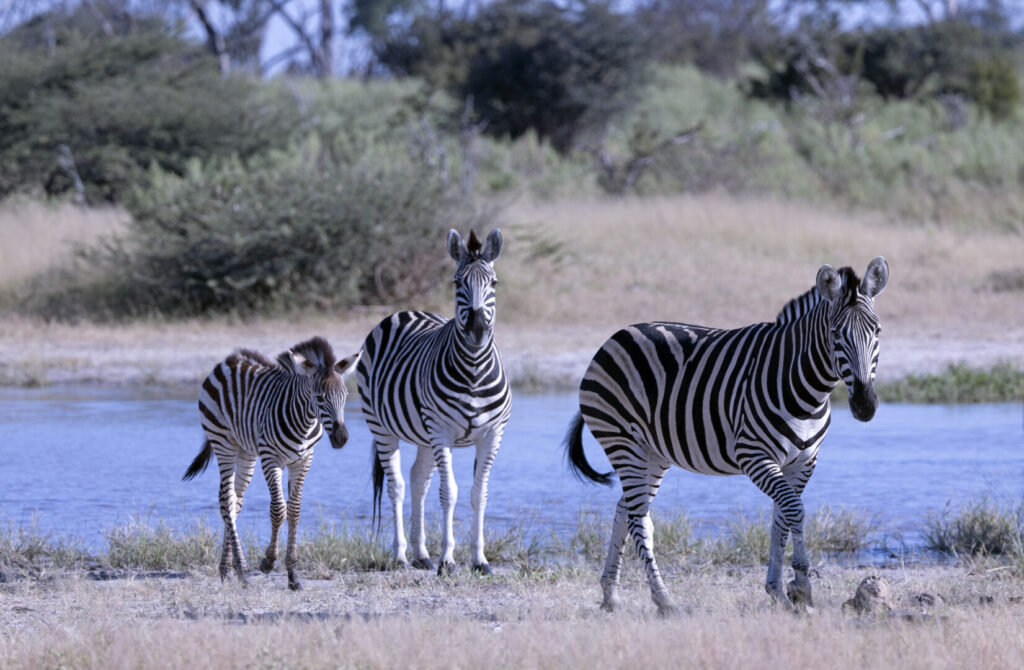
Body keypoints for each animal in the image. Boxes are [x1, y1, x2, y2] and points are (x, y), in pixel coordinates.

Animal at [183, 336, 360, 591]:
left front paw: (293, 575)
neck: (305, 422)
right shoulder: (270, 458)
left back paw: (228, 570)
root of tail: (229, 360)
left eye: (345, 396)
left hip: (246, 452)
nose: (341, 438)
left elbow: (294, 510)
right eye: (320, 398)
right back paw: (242, 569)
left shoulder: (303, 460)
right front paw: (268, 562)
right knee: (226, 501)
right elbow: (278, 509)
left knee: (235, 502)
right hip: (223, 443)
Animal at [357, 229, 511, 576]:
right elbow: (449, 492)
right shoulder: (443, 432)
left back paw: (421, 554)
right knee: (398, 486)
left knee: (418, 481)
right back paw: (401, 556)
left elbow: (478, 493)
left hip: (424, 436)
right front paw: (448, 559)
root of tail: (403, 311)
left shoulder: (492, 434)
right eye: (457, 283)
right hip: (382, 427)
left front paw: (479, 560)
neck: (474, 371)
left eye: (494, 283)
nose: (478, 330)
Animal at [565, 258, 889, 615]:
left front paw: (777, 591)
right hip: (623, 441)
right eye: (835, 334)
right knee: (639, 519)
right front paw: (802, 588)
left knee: (625, 509)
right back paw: (664, 599)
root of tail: (613, 338)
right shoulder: (754, 455)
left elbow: (781, 518)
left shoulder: (803, 462)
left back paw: (611, 595)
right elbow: (793, 510)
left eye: (877, 331)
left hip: (652, 453)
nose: (865, 406)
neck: (805, 388)